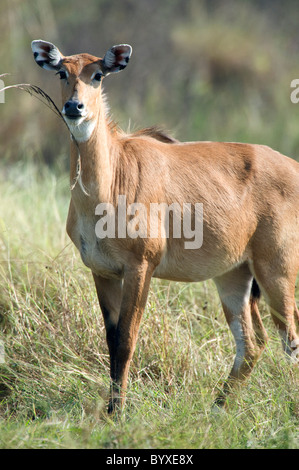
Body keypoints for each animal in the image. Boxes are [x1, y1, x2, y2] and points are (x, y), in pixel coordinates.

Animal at [31, 41, 299, 414]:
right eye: (61, 72)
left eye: (98, 75)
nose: (74, 106)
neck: (111, 179)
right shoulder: (103, 271)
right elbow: (111, 339)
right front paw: (111, 409)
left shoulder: (141, 265)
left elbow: (127, 338)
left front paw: (118, 413)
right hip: (234, 276)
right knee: (252, 342)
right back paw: (217, 407)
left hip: (277, 269)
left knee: (290, 340)